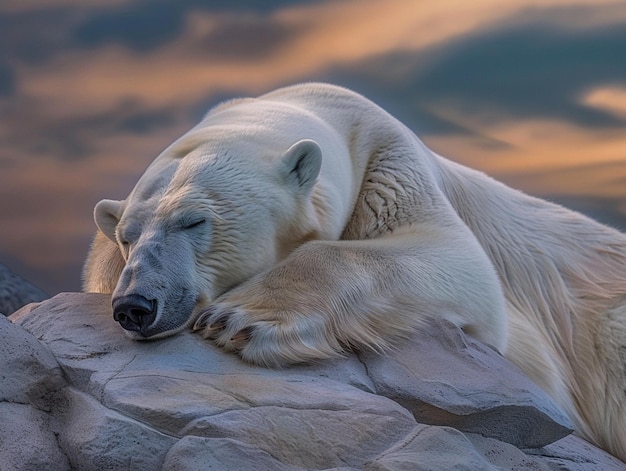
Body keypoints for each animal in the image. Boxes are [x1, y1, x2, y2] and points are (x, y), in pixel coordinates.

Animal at [84, 82, 624, 460]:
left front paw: (237, 318)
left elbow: (461, 263)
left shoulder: (389, 162)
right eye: (127, 236)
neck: (322, 108)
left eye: (193, 220)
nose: (135, 306)